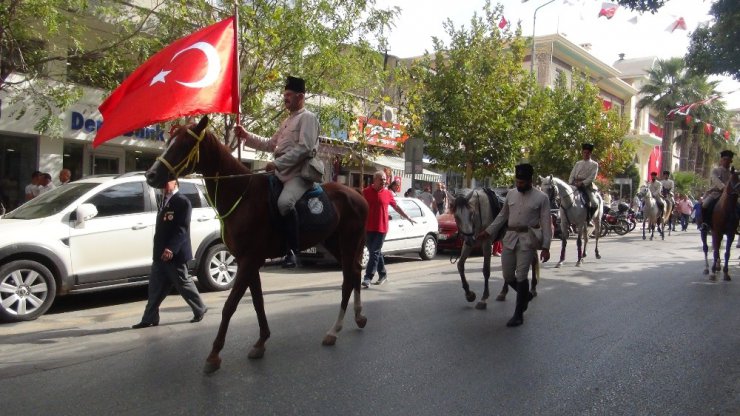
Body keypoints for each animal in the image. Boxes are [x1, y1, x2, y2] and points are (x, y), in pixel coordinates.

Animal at [146, 117, 370, 374]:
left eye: (184, 144)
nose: (150, 175)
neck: (242, 196)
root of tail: (358, 194)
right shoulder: (249, 261)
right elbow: (257, 301)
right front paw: (261, 341)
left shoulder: (249, 260)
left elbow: (230, 305)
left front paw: (214, 354)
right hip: (335, 243)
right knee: (355, 273)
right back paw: (358, 317)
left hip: (349, 242)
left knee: (348, 279)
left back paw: (334, 330)